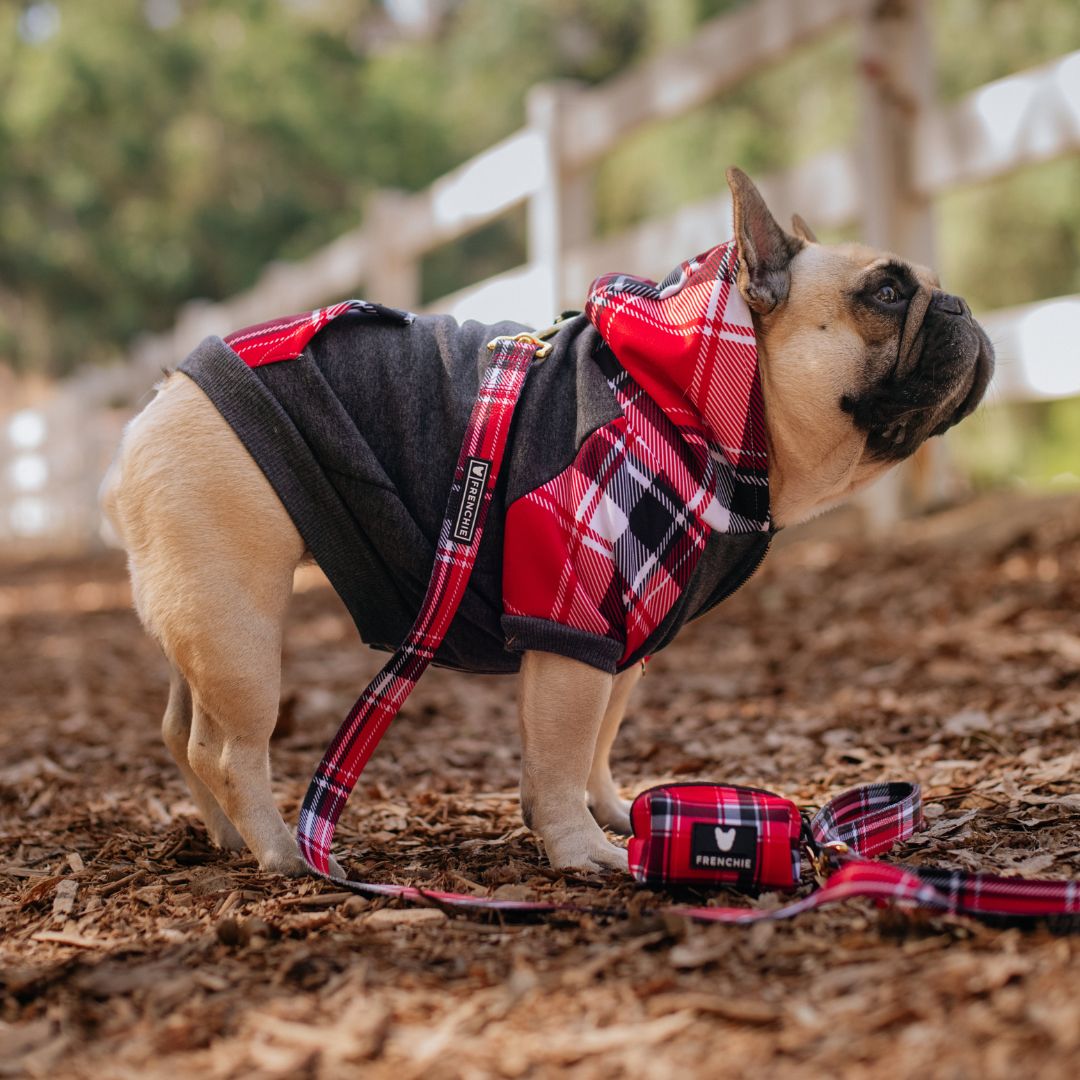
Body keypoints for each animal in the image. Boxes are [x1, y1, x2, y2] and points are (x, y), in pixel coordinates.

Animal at [101, 168, 993, 876]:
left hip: (200, 618)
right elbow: (562, 750)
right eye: (884, 293)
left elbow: (597, 740)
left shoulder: (625, 631)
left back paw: (227, 838)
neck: (702, 399)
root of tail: (155, 406)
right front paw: (582, 851)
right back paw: (284, 851)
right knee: (226, 746)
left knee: (181, 732)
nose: (960, 304)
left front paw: (615, 814)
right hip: (239, 620)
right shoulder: (571, 621)